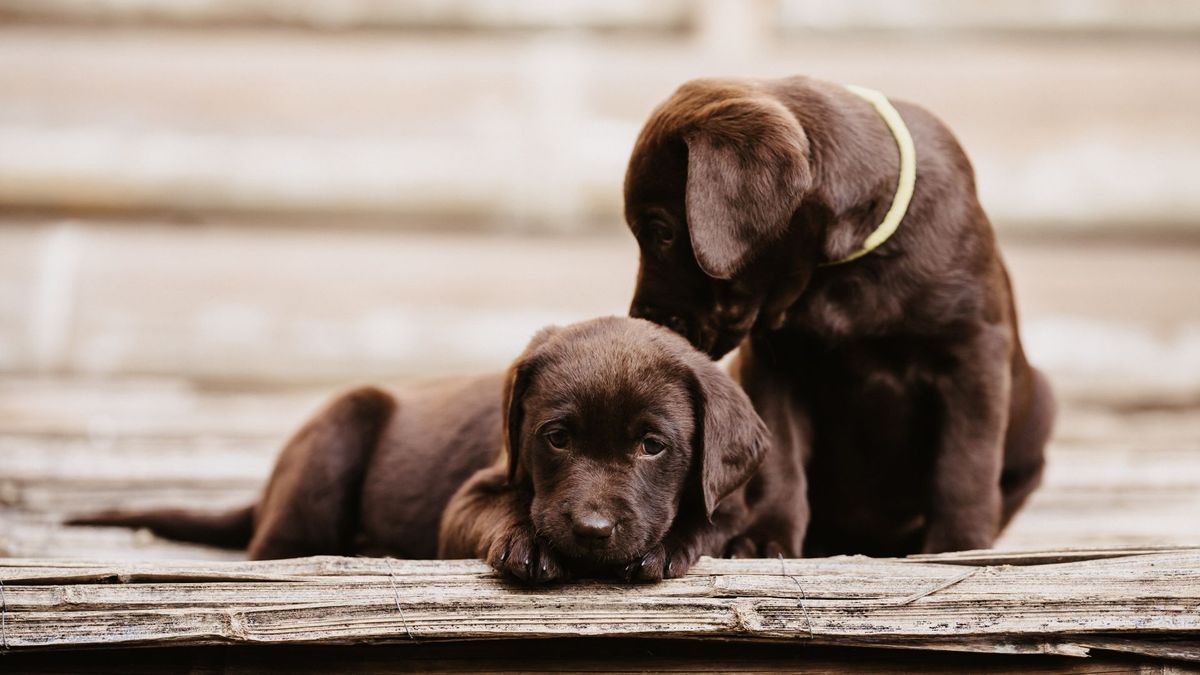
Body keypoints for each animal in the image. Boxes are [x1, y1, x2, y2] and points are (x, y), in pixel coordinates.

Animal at [68, 314, 768, 578]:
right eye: (557, 438)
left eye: (653, 446)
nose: (592, 530)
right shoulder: (471, 495)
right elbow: (499, 509)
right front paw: (528, 543)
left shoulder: (731, 500)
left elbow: (715, 520)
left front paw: (675, 545)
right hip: (340, 429)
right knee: (273, 550)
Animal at [624, 76, 1056, 554]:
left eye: (661, 232)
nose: (642, 317)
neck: (843, 269)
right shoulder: (773, 366)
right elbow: (781, 463)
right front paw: (766, 537)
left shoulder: (972, 354)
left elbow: (965, 465)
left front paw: (959, 545)